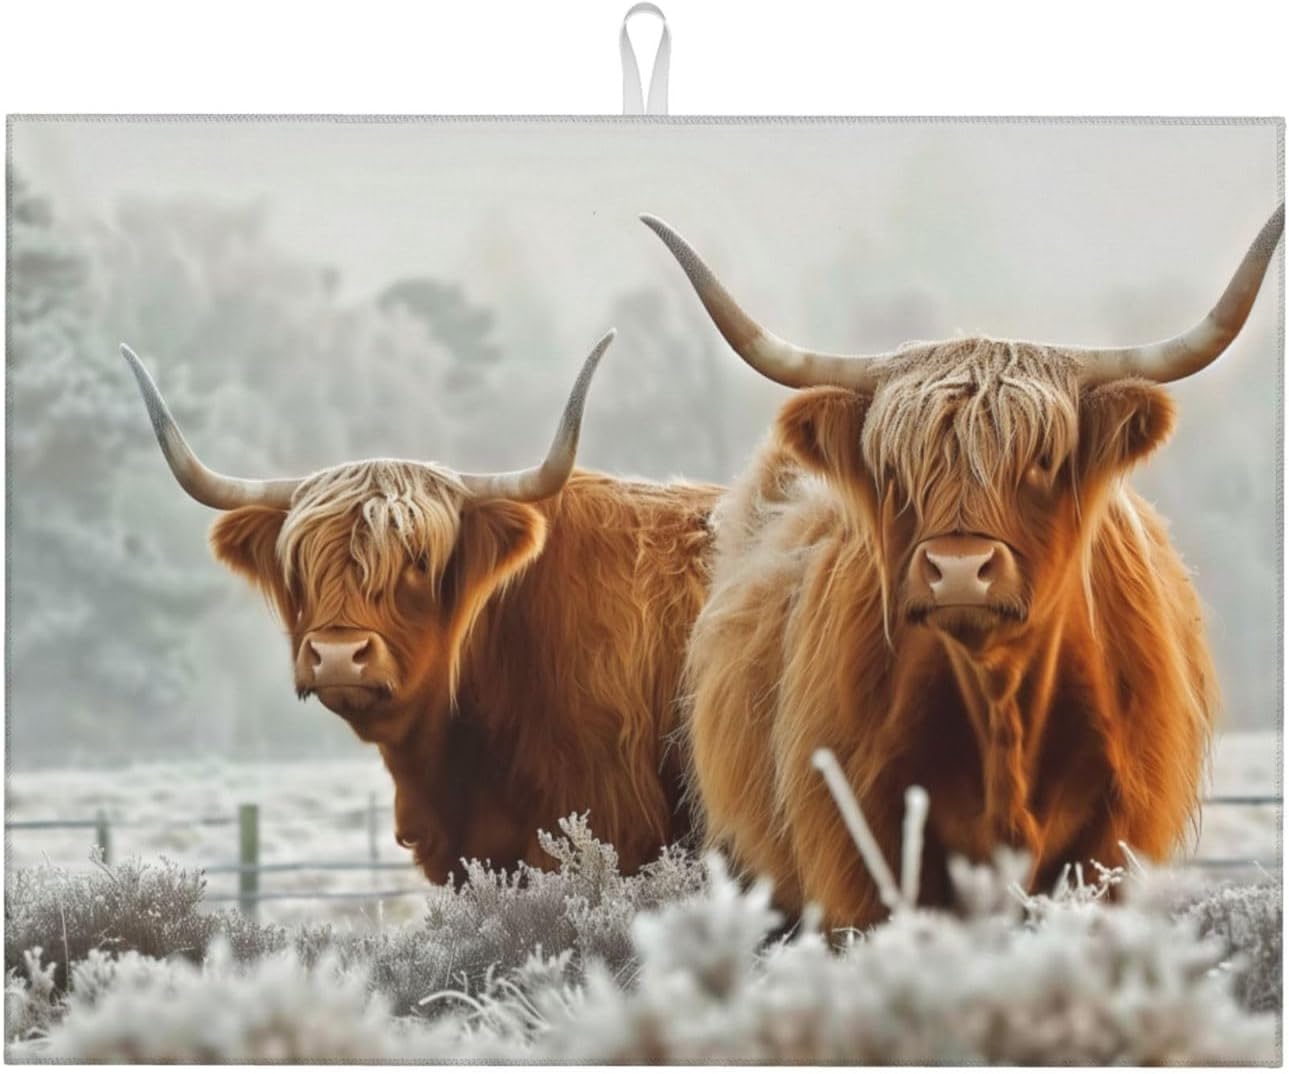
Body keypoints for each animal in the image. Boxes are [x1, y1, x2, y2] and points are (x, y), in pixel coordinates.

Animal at [642, 205, 1283, 927]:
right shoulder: (858, 855)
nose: (956, 568)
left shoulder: (1111, 843)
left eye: (1040, 460)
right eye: (895, 467)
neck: (1000, 699)